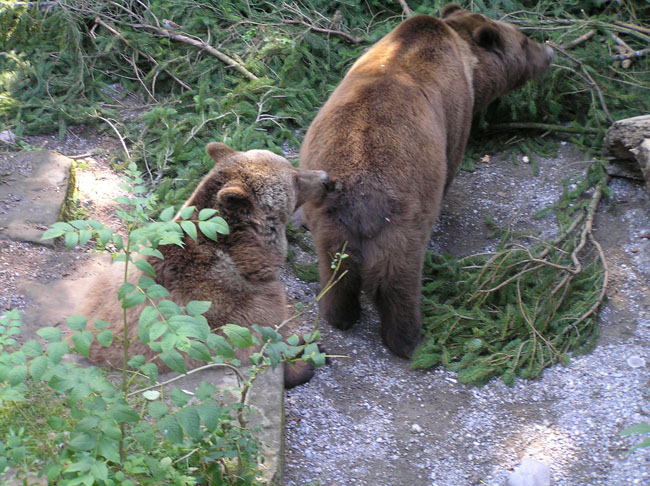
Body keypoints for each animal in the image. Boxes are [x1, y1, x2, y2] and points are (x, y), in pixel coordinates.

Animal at [82, 142, 330, 390]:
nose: (324, 177)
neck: (246, 259)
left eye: (292, 167)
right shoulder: (241, 312)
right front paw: (306, 359)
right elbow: (270, 341)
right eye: (295, 179)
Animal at [298, 3, 552, 358]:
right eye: (526, 41)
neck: (464, 54)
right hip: (401, 225)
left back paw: (339, 316)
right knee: (400, 285)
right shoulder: (456, 114)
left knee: (336, 276)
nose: (550, 52)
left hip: (330, 226)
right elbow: (453, 158)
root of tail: (358, 200)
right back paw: (409, 340)